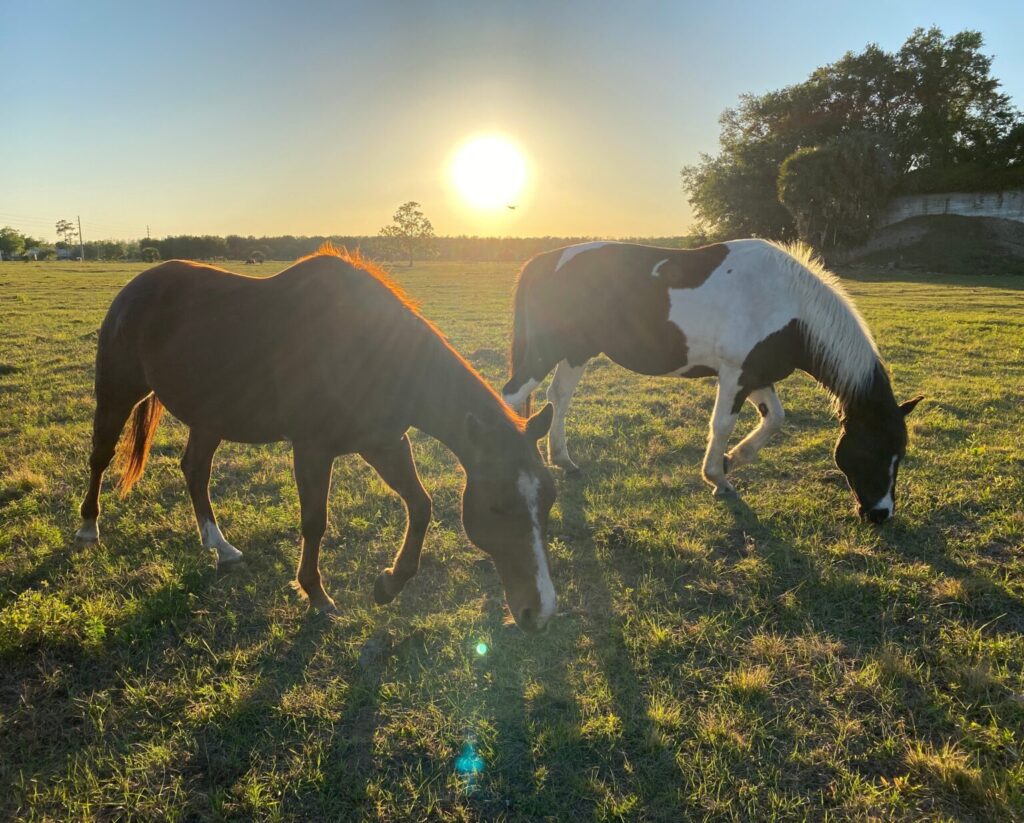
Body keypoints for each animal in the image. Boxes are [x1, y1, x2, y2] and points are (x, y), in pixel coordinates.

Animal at [75, 244, 558, 631]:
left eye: (548, 502)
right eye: (498, 507)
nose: (541, 612)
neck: (370, 349)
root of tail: (137, 286)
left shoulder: (384, 443)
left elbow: (421, 506)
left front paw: (388, 585)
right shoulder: (312, 448)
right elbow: (315, 521)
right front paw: (316, 595)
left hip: (210, 418)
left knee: (195, 470)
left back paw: (221, 547)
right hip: (117, 393)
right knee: (101, 456)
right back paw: (88, 526)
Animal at [502, 239, 922, 522]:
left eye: (900, 452)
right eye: (877, 449)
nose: (881, 514)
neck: (789, 306)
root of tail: (545, 260)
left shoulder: (755, 376)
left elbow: (775, 419)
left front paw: (732, 460)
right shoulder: (736, 375)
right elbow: (721, 424)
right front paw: (718, 477)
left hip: (577, 351)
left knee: (558, 398)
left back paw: (563, 460)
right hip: (546, 351)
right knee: (513, 397)